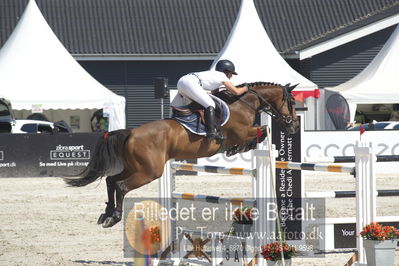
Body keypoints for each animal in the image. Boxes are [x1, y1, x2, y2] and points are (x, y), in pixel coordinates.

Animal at [63, 81, 300, 227]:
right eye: (291, 102)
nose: (294, 127)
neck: (244, 104)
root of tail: (130, 132)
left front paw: (240, 148)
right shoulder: (242, 131)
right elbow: (261, 131)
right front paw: (244, 146)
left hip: (136, 167)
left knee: (111, 180)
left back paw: (107, 213)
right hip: (150, 172)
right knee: (121, 186)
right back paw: (114, 217)